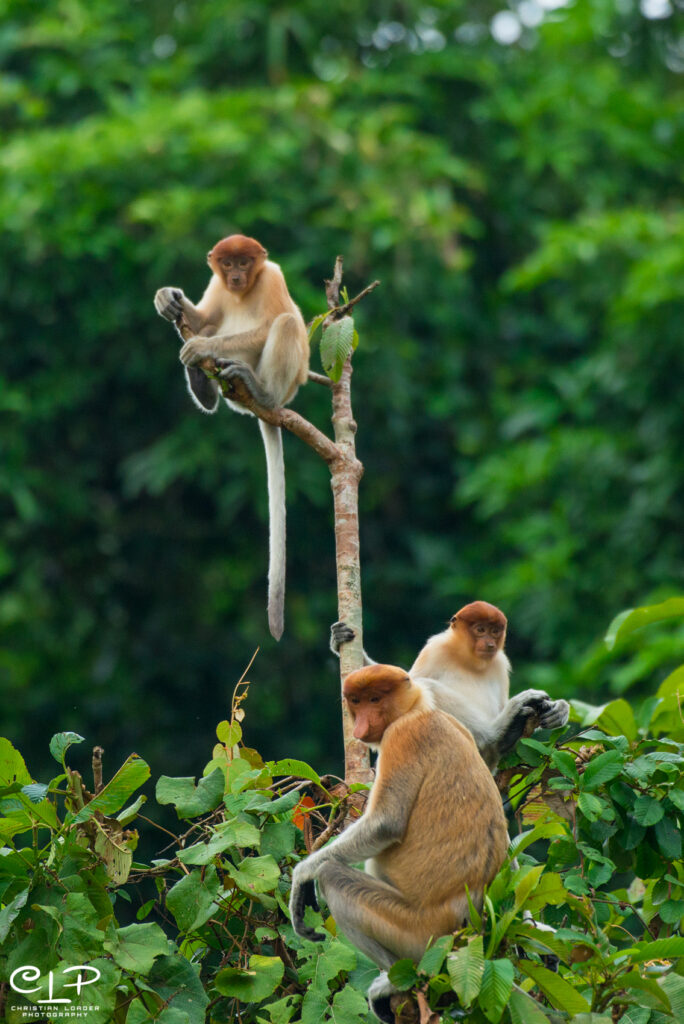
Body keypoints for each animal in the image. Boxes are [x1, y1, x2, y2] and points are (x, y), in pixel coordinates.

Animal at [154, 235, 309, 640]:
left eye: (244, 261)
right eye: (226, 264)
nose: (237, 276)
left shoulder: (271, 276)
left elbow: (272, 322)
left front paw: (201, 348)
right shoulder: (218, 287)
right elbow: (205, 320)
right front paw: (168, 299)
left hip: (283, 386)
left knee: (286, 322)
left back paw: (258, 390)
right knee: (213, 329)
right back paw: (203, 385)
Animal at [289, 664, 509, 1024]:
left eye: (376, 699)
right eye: (357, 701)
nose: (362, 724)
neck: (419, 709)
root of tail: (466, 921)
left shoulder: (403, 736)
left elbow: (385, 823)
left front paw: (301, 877)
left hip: (418, 932)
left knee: (334, 877)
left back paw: (394, 981)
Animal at [330, 601, 569, 770]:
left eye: (495, 631)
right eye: (480, 629)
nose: (490, 644)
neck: (469, 660)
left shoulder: (500, 663)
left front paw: (558, 710)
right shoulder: (434, 649)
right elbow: (409, 684)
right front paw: (339, 638)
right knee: (428, 686)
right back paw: (498, 733)